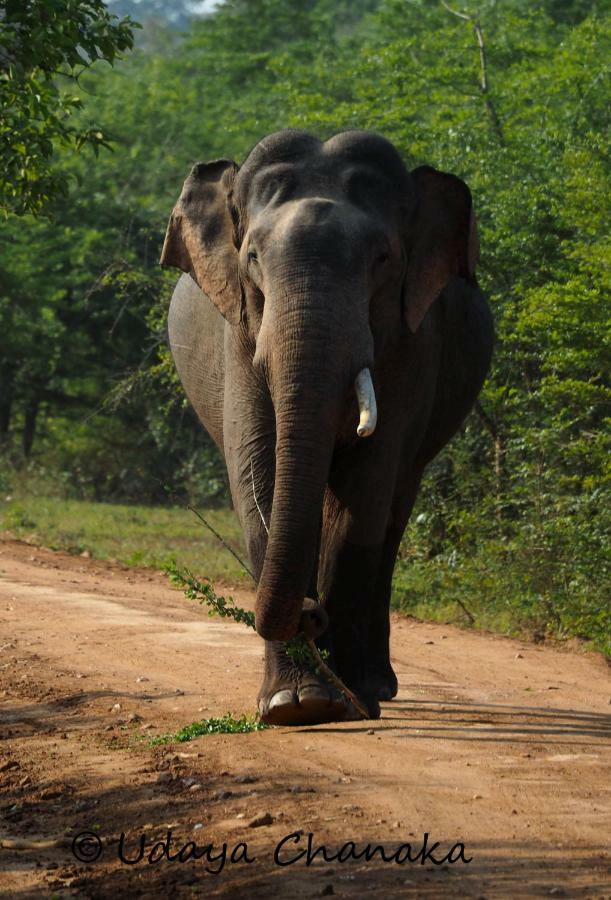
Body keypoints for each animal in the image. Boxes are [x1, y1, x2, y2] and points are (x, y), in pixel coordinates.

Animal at [160, 130, 494, 728]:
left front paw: (345, 701)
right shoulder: (239, 332)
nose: (312, 616)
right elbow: (258, 467)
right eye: (251, 258)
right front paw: (296, 705)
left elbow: (364, 492)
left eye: (383, 259)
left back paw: (374, 685)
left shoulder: (412, 342)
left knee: (394, 513)